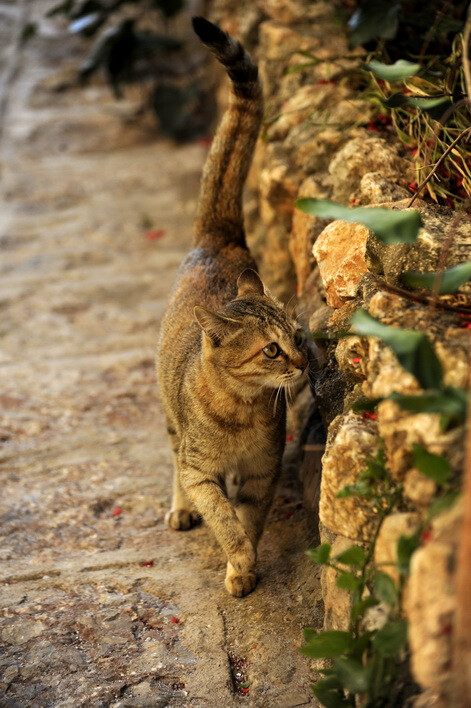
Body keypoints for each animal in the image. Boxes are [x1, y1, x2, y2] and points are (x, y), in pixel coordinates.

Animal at [157, 16, 308, 596]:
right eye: (270, 351)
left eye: (298, 337)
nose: (303, 364)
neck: (242, 410)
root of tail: (219, 239)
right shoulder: (202, 470)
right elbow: (223, 518)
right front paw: (239, 561)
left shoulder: (264, 472)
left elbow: (249, 518)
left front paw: (246, 563)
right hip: (171, 423)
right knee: (173, 459)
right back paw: (180, 509)